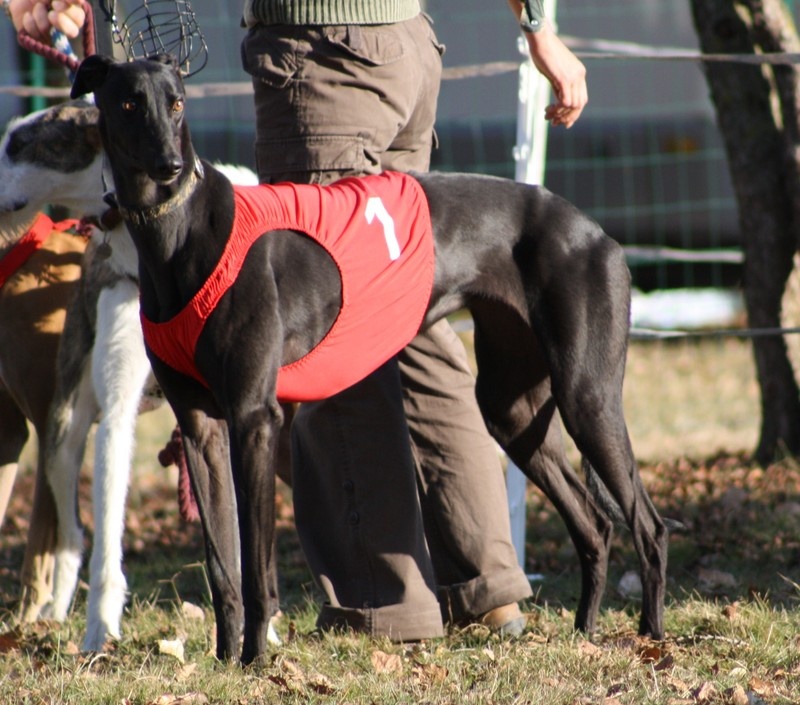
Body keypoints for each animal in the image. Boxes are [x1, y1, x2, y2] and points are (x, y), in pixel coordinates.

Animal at [72, 56, 668, 664]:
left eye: (177, 103)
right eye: (129, 102)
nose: (170, 165)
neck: (181, 229)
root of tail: (595, 231)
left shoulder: (254, 419)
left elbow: (257, 568)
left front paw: (255, 661)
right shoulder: (201, 428)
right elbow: (222, 567)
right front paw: (222, 660)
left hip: (586, 398)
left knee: (648, 525)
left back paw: (651, 634)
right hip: (513, 411)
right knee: (594, 524)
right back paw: (586, 632)